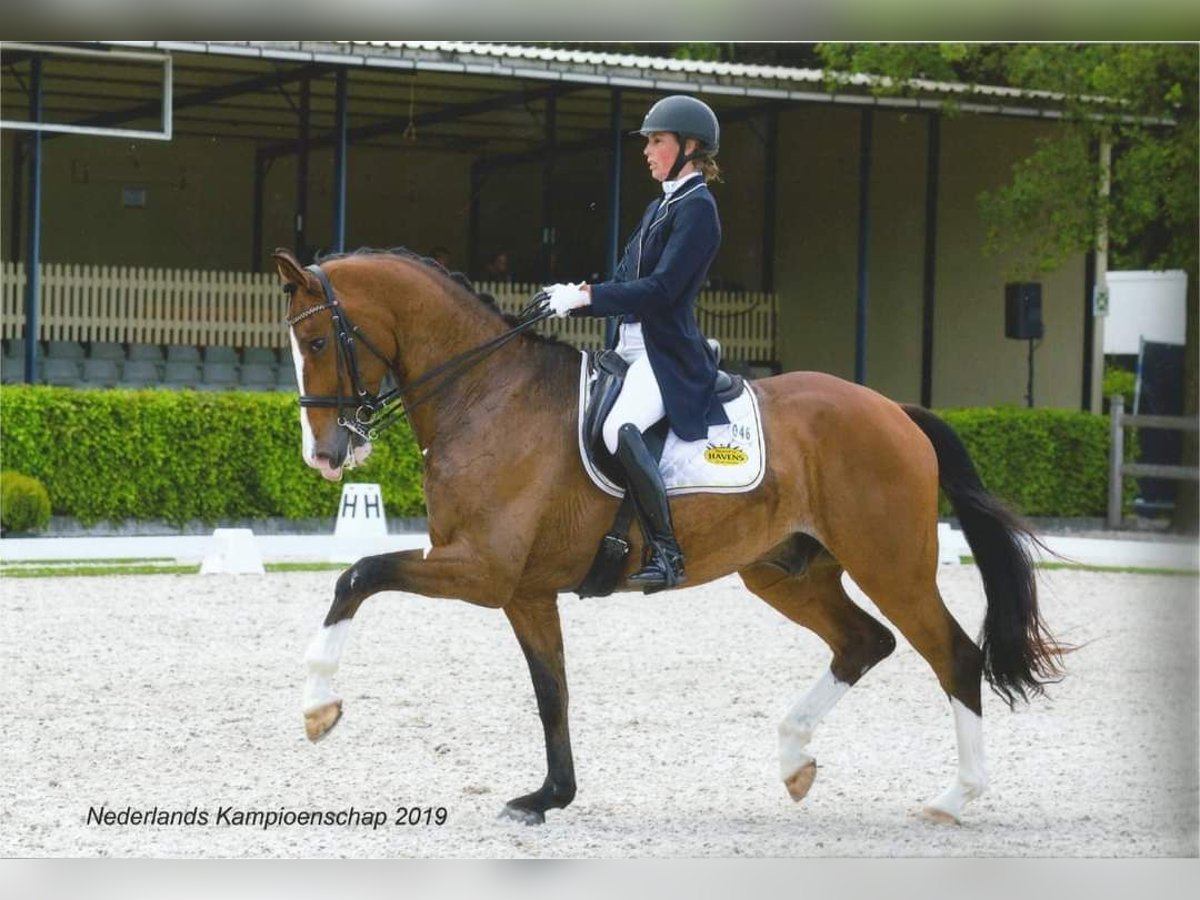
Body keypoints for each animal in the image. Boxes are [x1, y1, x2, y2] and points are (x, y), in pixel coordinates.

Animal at [275, 246, 1063, 826]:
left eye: (315, 339)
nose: (323, 456)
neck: (487, 395)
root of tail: (895, 410)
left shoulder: (480, 570)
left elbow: (358, 574)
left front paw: (317, 708)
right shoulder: (525, 589)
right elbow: (552, 691)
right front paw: (549, 797)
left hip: (890, 564)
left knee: (953, 655)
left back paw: (954, 798)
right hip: (786, 572)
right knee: (863, 642)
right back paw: (794, 761)